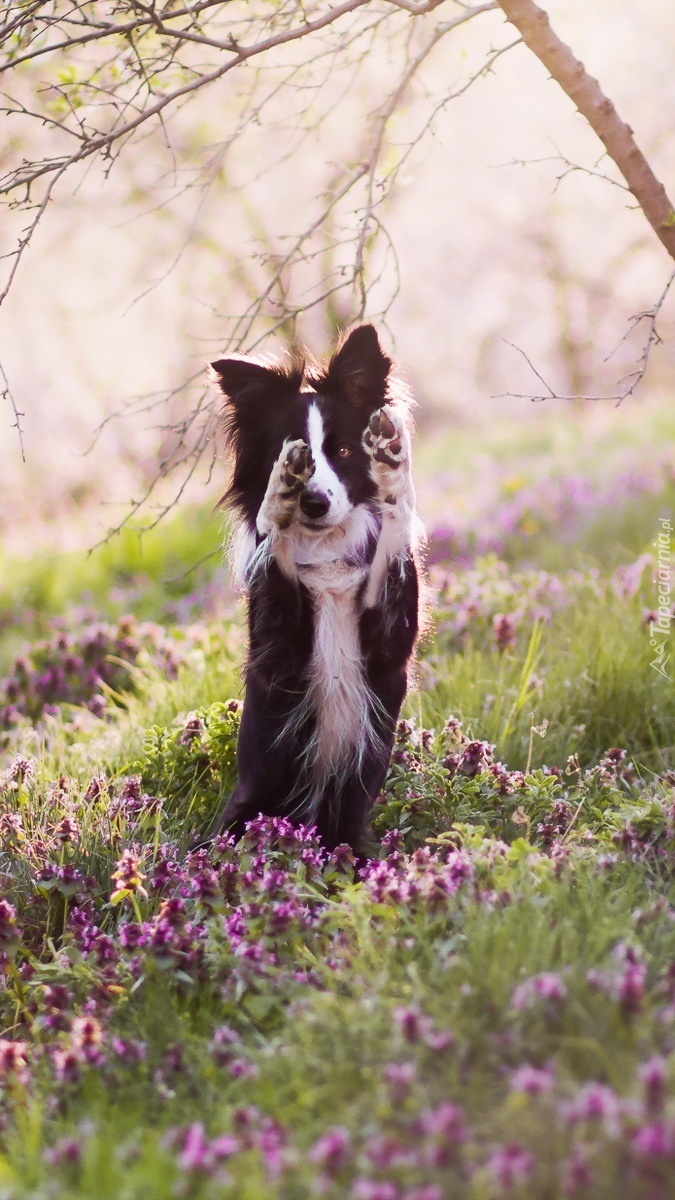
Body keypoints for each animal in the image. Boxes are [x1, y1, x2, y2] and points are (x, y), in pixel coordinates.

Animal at [210, 328, 420, 854]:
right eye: (293, 450)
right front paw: (278, 494)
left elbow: (395, 523)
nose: (313, 502)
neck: (326, 545)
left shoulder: (389, 632)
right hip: (242, 817)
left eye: (344, 452)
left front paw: (392, 457)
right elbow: (275, 542)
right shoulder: (279, 647)